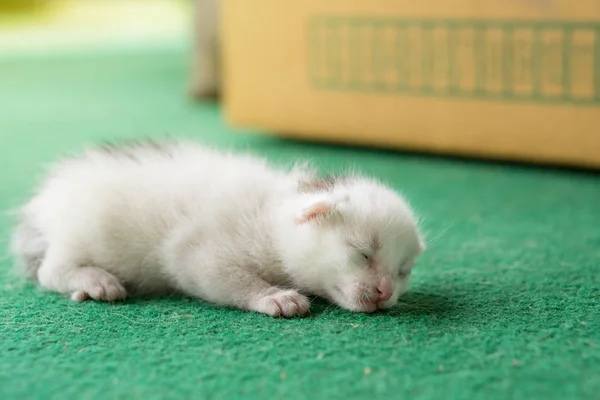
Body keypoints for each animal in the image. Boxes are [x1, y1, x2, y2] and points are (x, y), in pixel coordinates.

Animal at [9, 141, 424, 316]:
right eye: (362, 252)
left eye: (402, 272)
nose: (385, 291)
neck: (270, 216)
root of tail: (42, 207)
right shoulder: (195, 249)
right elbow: (222, 277)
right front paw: (273, 297)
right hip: (82, 230)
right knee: (50, 270)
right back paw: (94, 280)